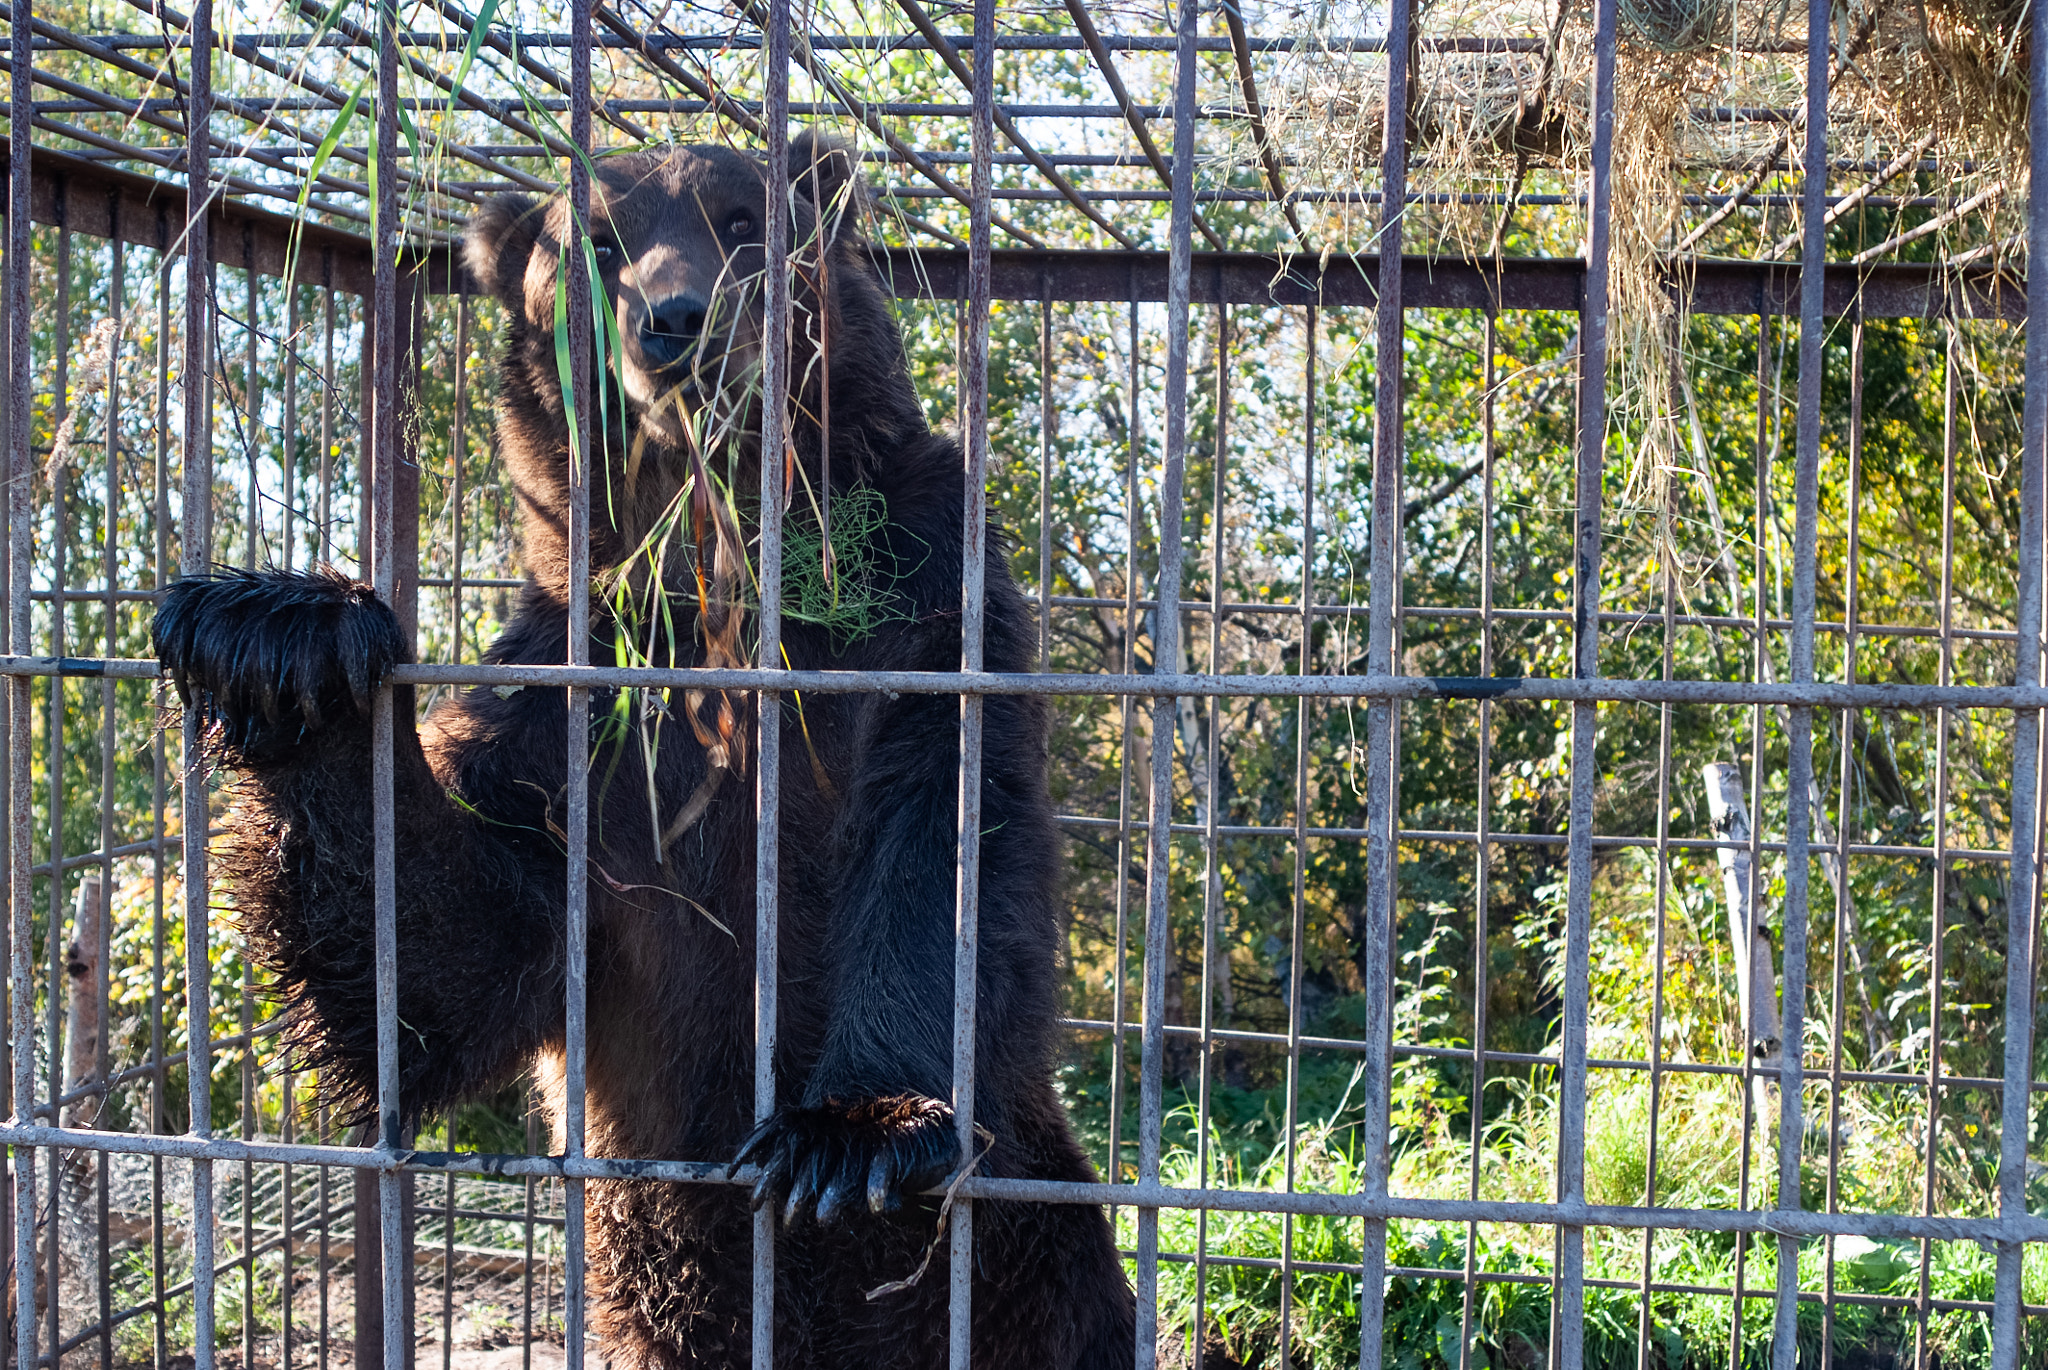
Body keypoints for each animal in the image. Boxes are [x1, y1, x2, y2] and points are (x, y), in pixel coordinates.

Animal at [155, 131, 1138, 1367]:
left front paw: (848, 1137)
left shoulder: (928, 610)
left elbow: (943, 841)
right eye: (598, 244)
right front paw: (277, 637)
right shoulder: (575, 711)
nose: (680, 319)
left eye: (741, 219)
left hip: (1039, 1266)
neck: (722, 575)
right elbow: (445, 967)